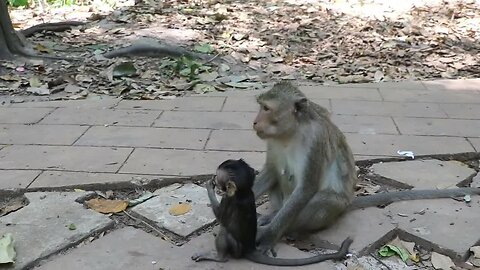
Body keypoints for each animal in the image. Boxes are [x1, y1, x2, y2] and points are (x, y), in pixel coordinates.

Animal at [190, 158, 352, 266]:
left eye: (218, 177)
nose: (214, 179)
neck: (242, 191)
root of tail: (249, 249)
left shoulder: (229, 199)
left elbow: (222, 217)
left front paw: (210, 189)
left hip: (237, 249)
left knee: (225, 231)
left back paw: (219, 257)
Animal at [251, 80, 480, 251]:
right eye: (260, 106)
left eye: (266, 108)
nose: (254, 122)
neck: (292, 132)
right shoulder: (273, 141)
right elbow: (271, 172)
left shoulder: (316, 141)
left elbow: (307, 188)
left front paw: (269, 236)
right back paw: (272, 214)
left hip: (332, 210)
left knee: (323, 201)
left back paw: (280, 226)